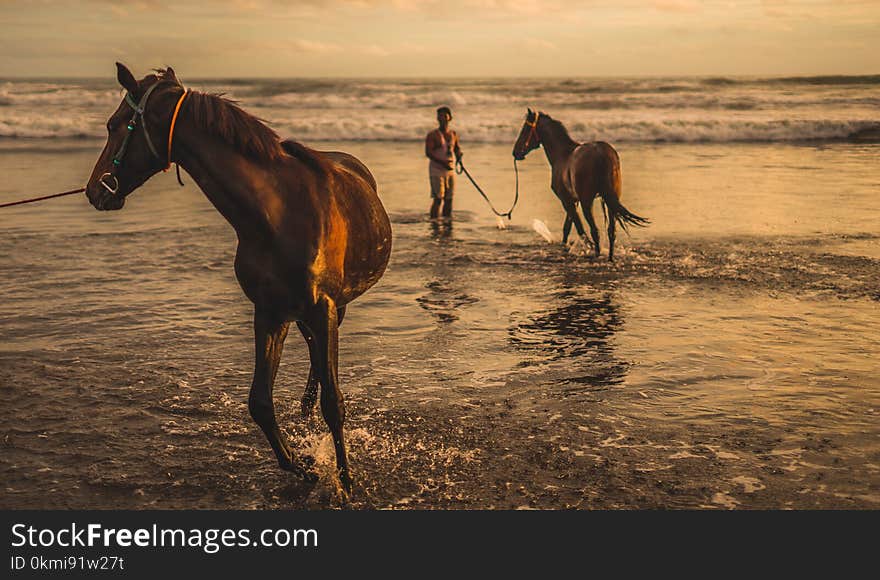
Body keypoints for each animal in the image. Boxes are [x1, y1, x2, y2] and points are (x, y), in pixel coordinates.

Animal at [83, 64, 392, 494]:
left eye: (114, 125)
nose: (94, 190)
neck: (277, 212)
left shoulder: (323, 308)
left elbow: (334, 403)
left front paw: (345, 484)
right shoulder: (269, 312)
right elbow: (260, 402)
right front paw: (305, 466)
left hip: (335, 310)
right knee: (311, 357)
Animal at [512, 110, 648, 260]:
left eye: (525, 129)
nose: (515, 152)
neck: (562, 154)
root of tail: (602, 154)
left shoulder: (567, 200)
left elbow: (577, 228)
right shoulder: (573, 200)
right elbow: (567, 228)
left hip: (587, 202)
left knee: (595, 231)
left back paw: (596, 254)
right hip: (610, 201)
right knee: (611, 232)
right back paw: (610, 257)